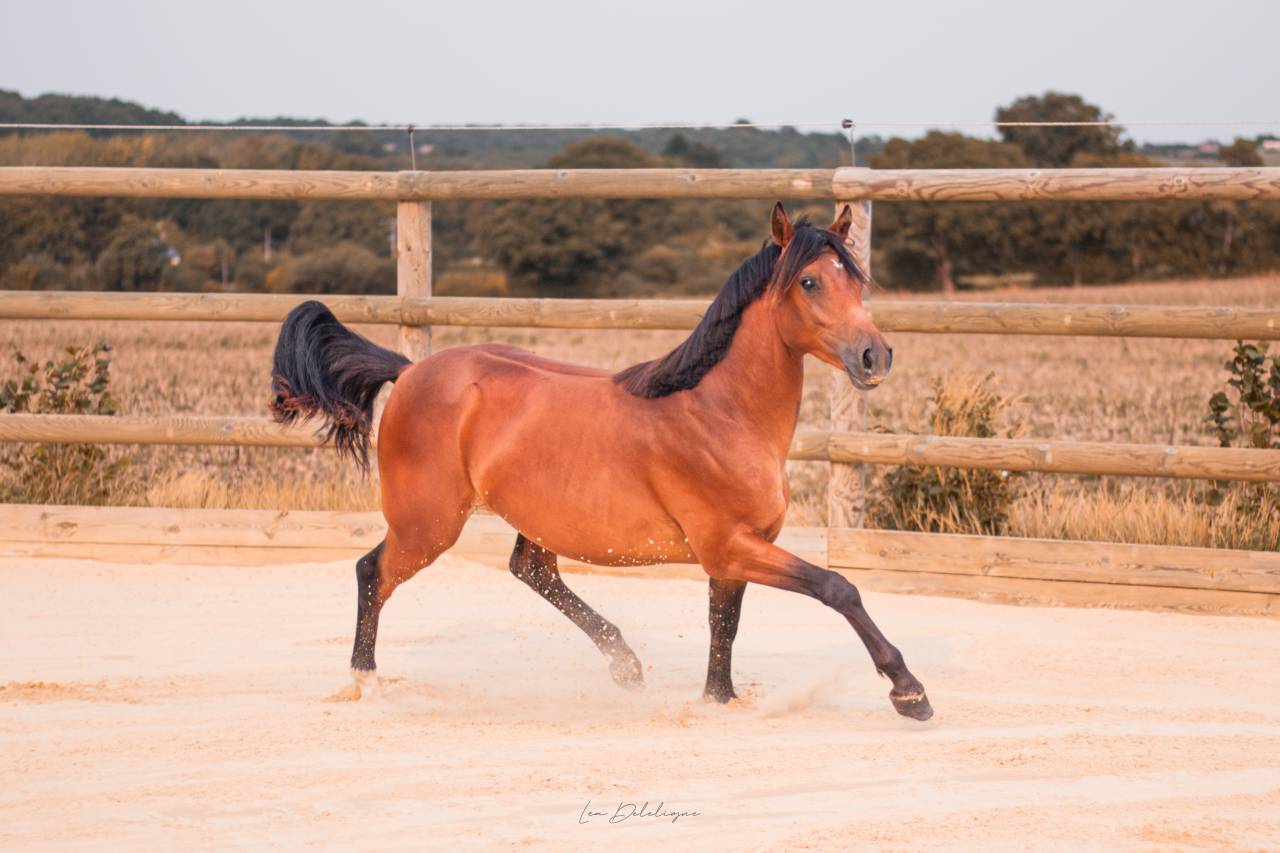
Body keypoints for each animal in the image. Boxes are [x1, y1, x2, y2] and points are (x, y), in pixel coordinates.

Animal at [269, 202, 932, 721]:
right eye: (810, 283)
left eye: (857, 282)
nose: (875, 356)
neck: (719, 413)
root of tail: (409, 372)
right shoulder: (729, 545)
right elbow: (838, 587)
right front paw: (909, 692)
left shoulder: (734, 554)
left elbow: (724, 626)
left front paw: (717, 700)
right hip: (427, 523)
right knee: (372, 572)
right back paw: (365, 682)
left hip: (530, 519)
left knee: (530, 571)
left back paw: (626, 665)